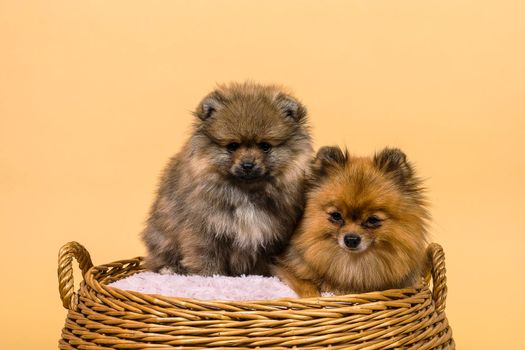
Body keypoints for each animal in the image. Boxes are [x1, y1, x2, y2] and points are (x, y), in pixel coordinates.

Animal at [142, 82, 312, 276]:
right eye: (232, 146)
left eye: (265, 146)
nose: (248, 164)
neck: (246, 193)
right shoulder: (205, 230)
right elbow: (207, 259)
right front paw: (210, 276)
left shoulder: (270, 235)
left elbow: (262, 263)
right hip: (162, 237)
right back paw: (169, 268)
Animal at [272, 146, 428, 296]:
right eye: (336, 216)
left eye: (373, 220)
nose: (351, 239)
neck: (352, 265)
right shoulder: (284, 269)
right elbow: (306, 285)